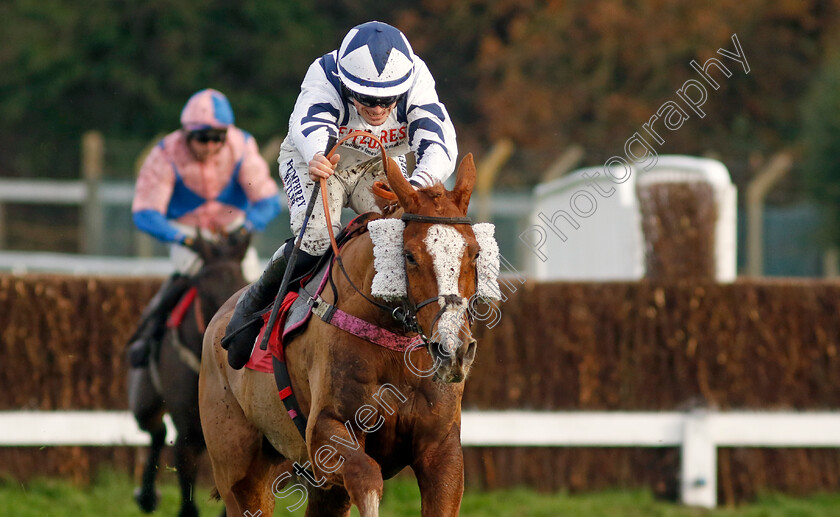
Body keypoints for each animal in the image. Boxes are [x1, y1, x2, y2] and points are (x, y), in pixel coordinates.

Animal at [130, 233, 251, 516]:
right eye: (204, 290)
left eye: (241, 284)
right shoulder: (187, 431)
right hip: (144, 400)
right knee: (157, 431)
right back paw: (147, 496)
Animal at [199, 154, 486, 516]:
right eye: (409, 255)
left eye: (475, 253)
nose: (453, 348)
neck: (393, 343)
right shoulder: (327, 433)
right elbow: (368, 480)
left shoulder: (442, 450)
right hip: (238, 469)